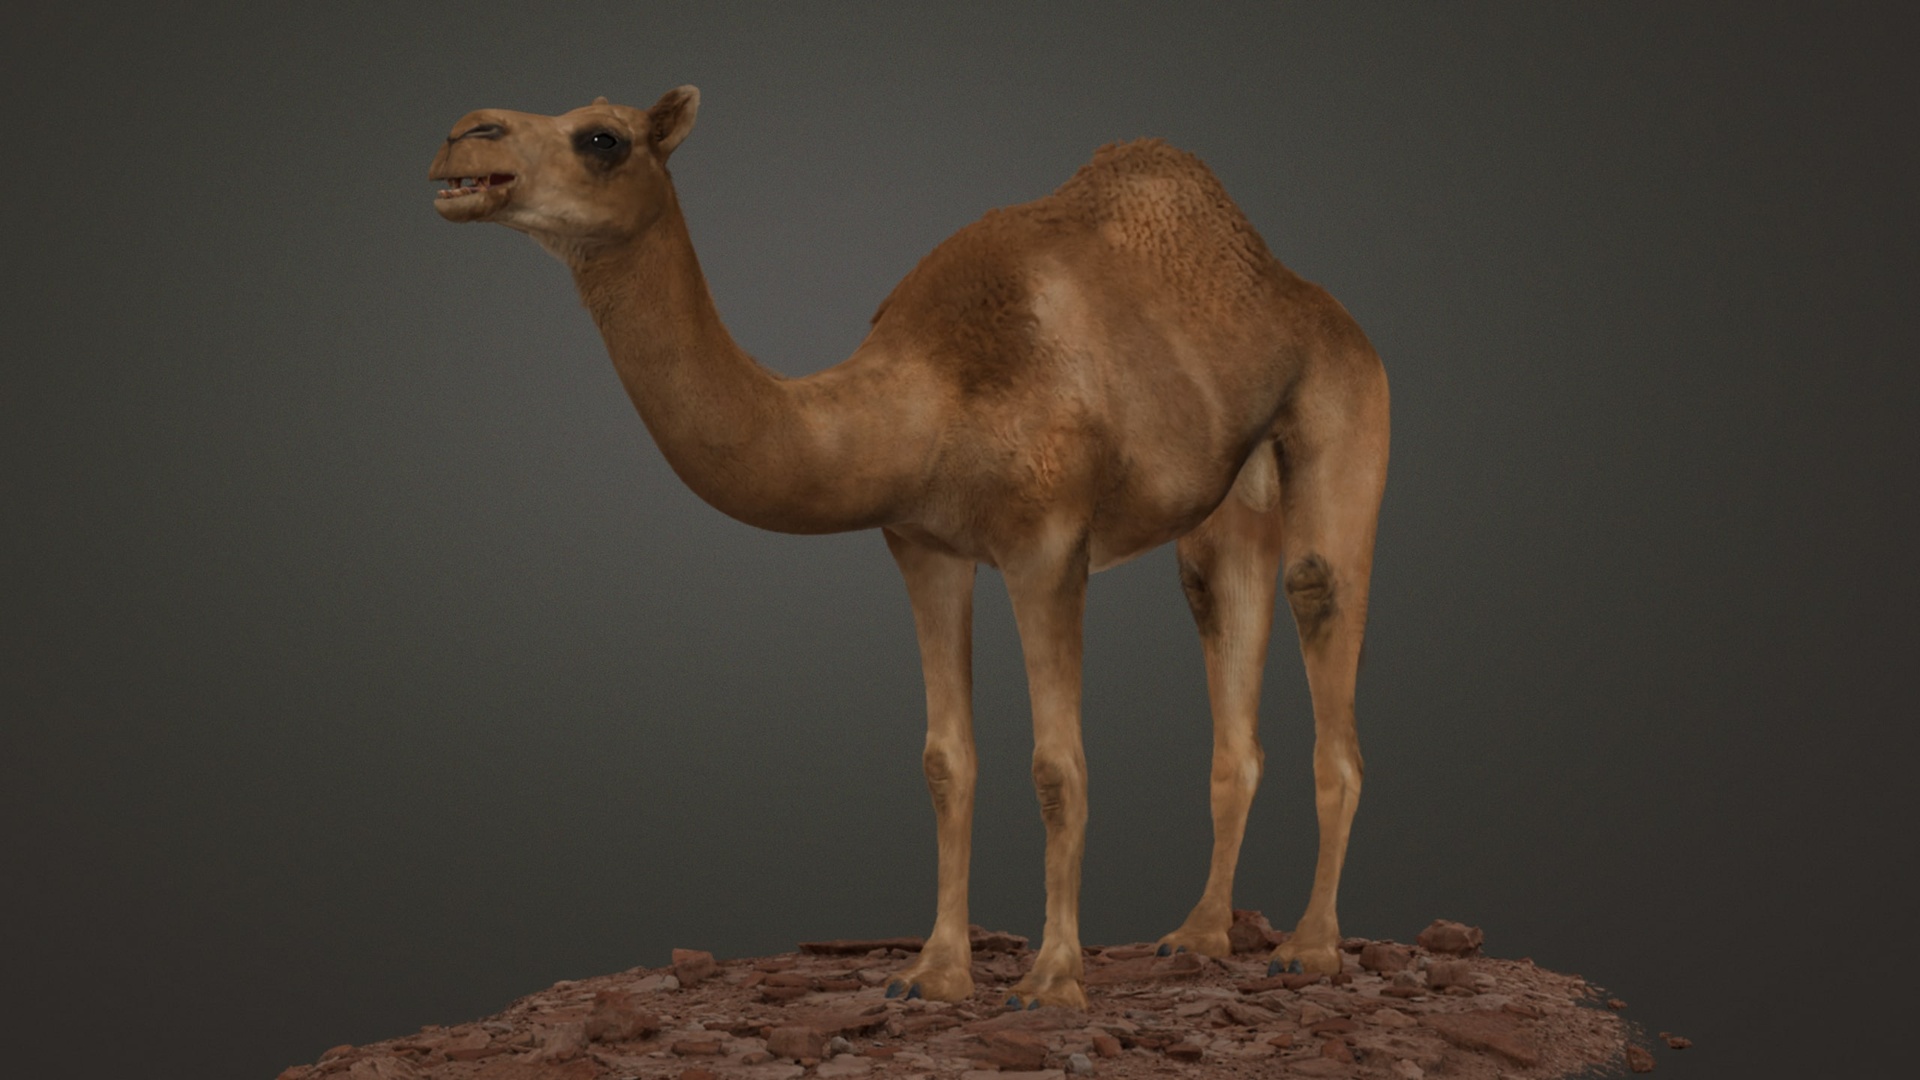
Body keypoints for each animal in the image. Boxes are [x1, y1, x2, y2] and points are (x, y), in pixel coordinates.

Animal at [427, 86, 1389, 1011]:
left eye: (602, 138)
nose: (464, 135)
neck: (923, 404)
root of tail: (1310, 297)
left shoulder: (1048, 547)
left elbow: (1057, 768)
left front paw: (1051, 982)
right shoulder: (925, 546)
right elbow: (945, 761)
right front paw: (933, 973)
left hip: (1346, 417)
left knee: (1320, 608)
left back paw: (1309, 949)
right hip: (1227, 506)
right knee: (1224, 643)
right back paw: (1198, 936)